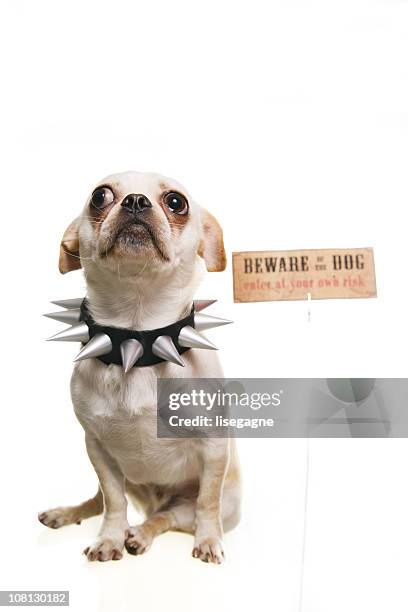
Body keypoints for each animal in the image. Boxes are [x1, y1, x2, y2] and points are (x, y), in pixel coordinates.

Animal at [39, 171, 239, 564]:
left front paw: (209, 540)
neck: (138, 338)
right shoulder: (98, 449)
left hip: (202, 505)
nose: (134, 201)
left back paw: (141, 535)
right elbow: (113, 501)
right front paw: (109, 539)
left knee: (168, 517)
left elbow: (208, 501)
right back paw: (70, 514)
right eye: (99, 197)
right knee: (100, 500)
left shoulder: (213, 449)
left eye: (176, 202)